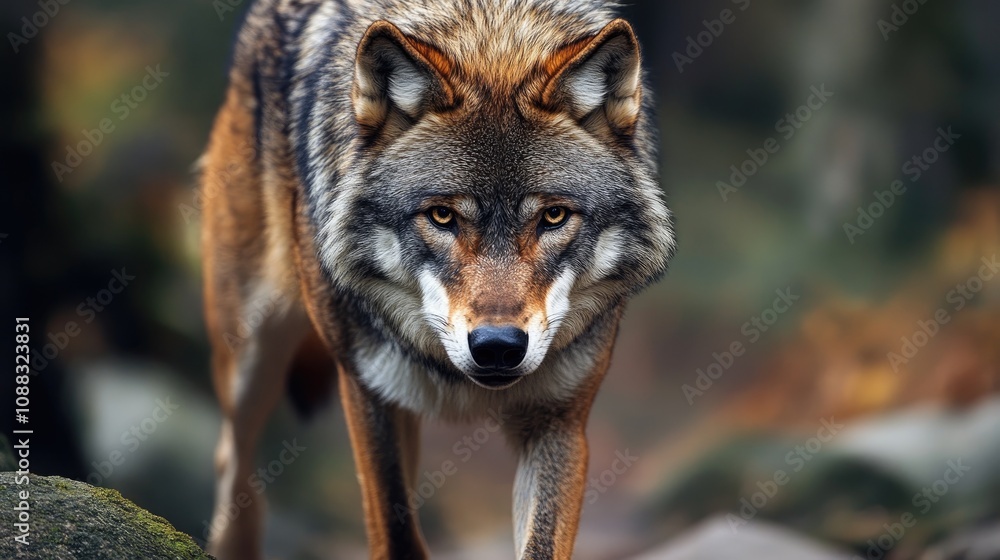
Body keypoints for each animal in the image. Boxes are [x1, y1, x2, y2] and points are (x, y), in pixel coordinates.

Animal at [200, 0, 675, 558]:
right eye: (442, 216)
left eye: (554, 216)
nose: (497, 346)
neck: (491, 36)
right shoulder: (367, 391)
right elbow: (396, 533)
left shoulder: (559, 420)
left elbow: (540, 543)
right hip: (252, 355)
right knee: (232, 458)